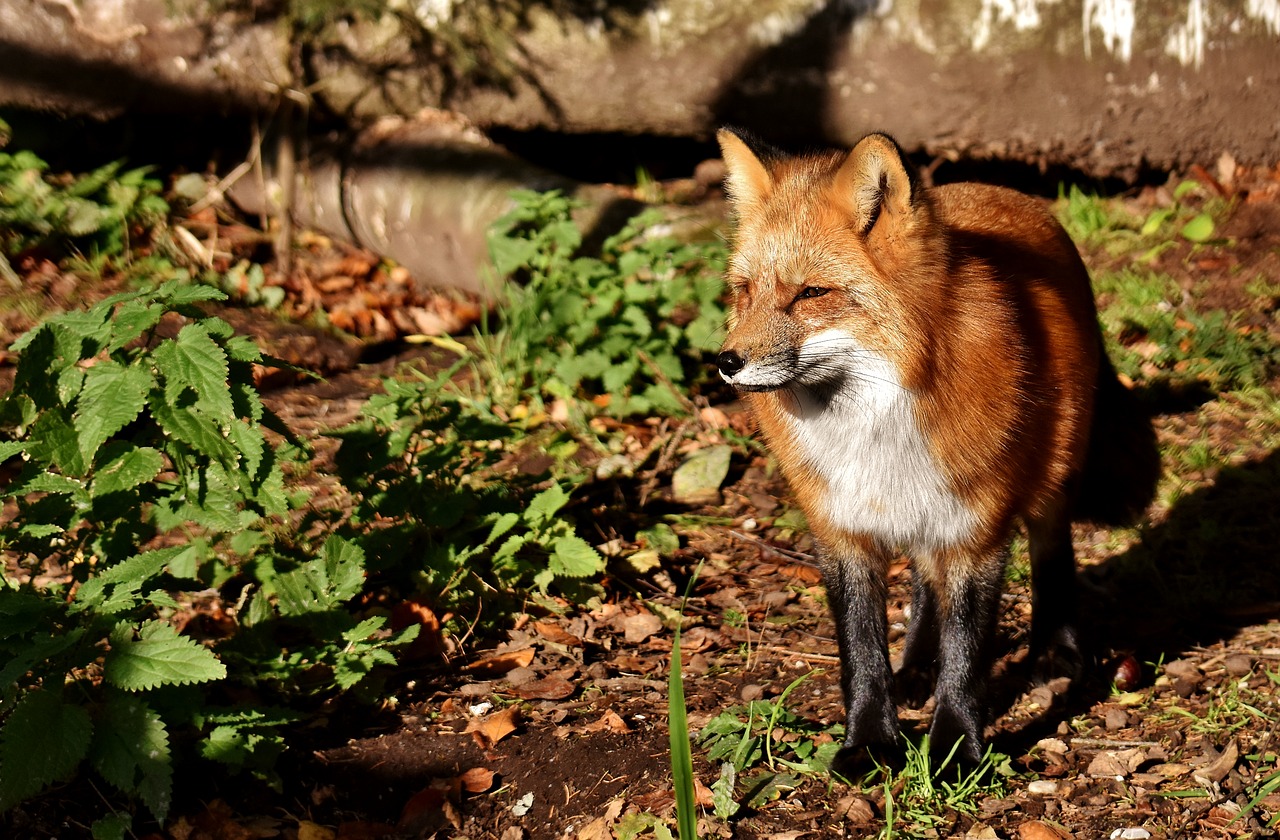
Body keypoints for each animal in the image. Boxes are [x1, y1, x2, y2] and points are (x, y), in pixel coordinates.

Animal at [716, 128, 1167, 763]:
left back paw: (1055, 650)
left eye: (811, 293)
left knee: (1052, 552)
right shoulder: (844, 530)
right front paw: (869, 744)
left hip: (1049, 479)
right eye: (746, 291)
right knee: (925, 585)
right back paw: (915, 670)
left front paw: (956, 749)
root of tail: (999, 190)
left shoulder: (978, 533)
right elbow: (861, 651)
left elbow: (968, 656)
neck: (877, 426)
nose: (726, 362)